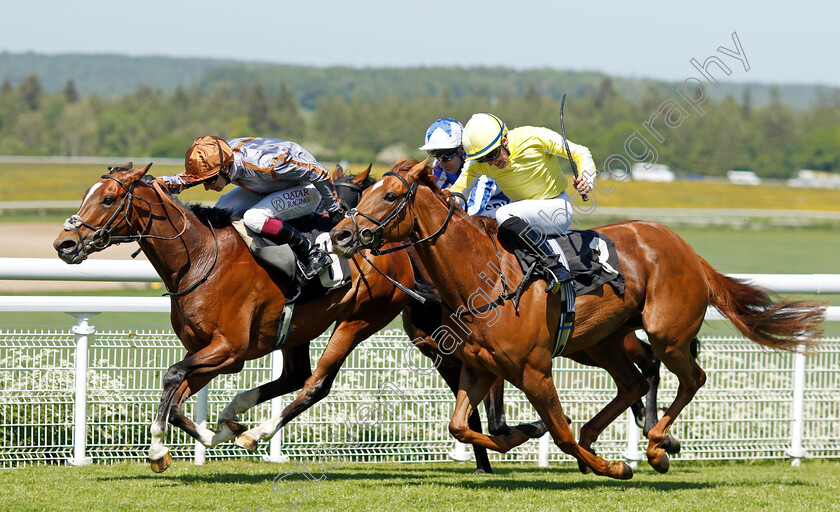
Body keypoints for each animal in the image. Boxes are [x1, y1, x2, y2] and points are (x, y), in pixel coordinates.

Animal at [330, 158, 828, 478]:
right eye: (364, 193)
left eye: (391, 194)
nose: (341, 235)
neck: (483, 279)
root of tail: (685, 247)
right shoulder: (476, 367)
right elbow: (465, 426)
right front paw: (526, 433)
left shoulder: (534, 370)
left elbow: (558, 433)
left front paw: (614, 466)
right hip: (599, 343)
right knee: (633, 382)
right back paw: (615, 437)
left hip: (666, 334)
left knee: (691, 377)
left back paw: (655, 446)